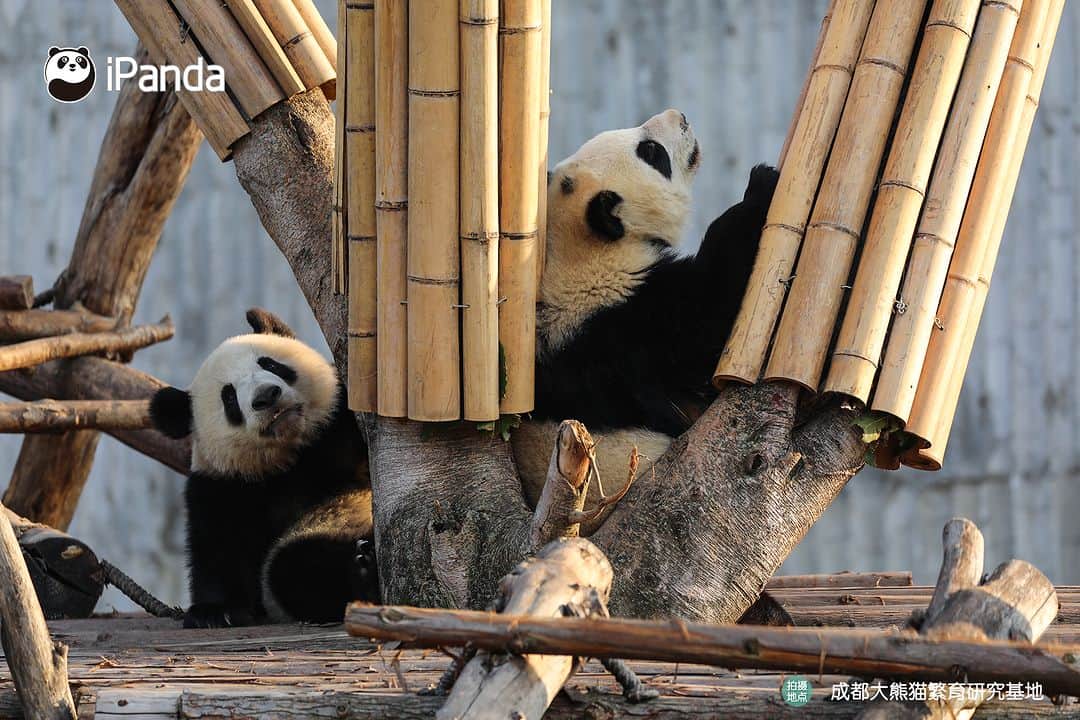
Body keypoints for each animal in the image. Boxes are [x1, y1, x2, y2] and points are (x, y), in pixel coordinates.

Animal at [150, 308, 377, 628]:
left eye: (270, 364)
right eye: (229, 397)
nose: (266, 396)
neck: (294, 456)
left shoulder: (339, 425)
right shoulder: (224, 485)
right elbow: (217, 548)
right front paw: (212, 612)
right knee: (297, 568)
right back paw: (364, 572)